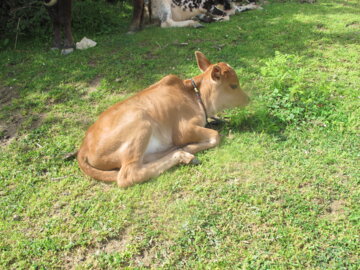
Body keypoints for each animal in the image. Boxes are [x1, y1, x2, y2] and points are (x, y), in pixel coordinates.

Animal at [77, 52, 249, 188]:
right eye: (233, 85)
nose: (248, 99)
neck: (196, 97)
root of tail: (83, 147)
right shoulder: (182, 130)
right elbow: (216, 136)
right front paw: (189, 147)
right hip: (141, 124)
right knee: (128, 175)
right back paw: (182, 154)